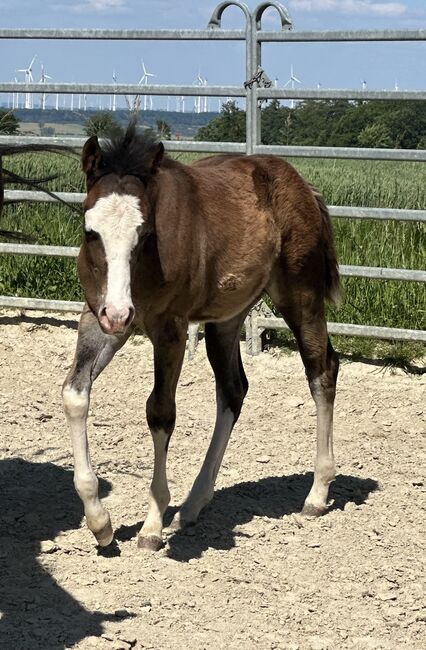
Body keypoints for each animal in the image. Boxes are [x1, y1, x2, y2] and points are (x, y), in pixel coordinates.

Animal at [61, 120, 342, 548]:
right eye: (90, 231)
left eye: (145, 233)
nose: (120, 313)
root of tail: (304, 186)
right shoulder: (100, 319)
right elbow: (75, 395)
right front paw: (100, 523)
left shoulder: (170, 329)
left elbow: (161, 412)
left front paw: (152, 525)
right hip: (227, 318)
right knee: (233, 390)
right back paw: (193, 506)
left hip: (301, 295)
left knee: (322, 370)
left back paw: (317, 493)